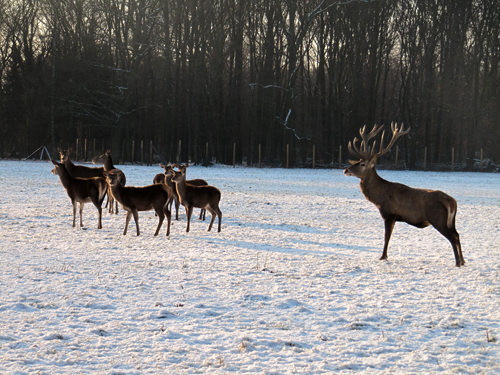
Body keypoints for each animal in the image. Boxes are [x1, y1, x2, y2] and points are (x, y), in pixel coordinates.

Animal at [344, 123, 464, 268]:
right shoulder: (394, 217)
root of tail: (451, 201)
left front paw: (382, 257)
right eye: (357, 161)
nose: (346, 170)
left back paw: (457, 262)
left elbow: (386, 237)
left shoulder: (389, 214)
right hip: (451, 220)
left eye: (362, 164)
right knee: (457, 234)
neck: (378, 198)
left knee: (452, 237)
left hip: (438, 218)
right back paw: (463, 261)